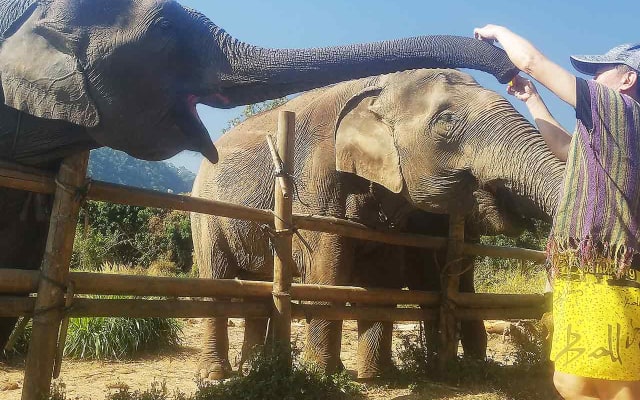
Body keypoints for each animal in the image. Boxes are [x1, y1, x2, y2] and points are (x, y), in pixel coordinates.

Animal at [0, 0, 524, 353]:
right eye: (447, 123)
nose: (511, 67)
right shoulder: (318, 178)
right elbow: (329, 266)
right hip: (205, 220)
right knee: (219, 282)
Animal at [190, 68, 565, 379]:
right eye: (446, 122)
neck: (381, 86)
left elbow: (382, 280)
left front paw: (376, 376)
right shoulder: (314, 179)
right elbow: (327, 269)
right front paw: (323, 375)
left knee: (254, 288)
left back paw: (251, 367)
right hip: (205, 215)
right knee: (216, 280)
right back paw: (218, 375)